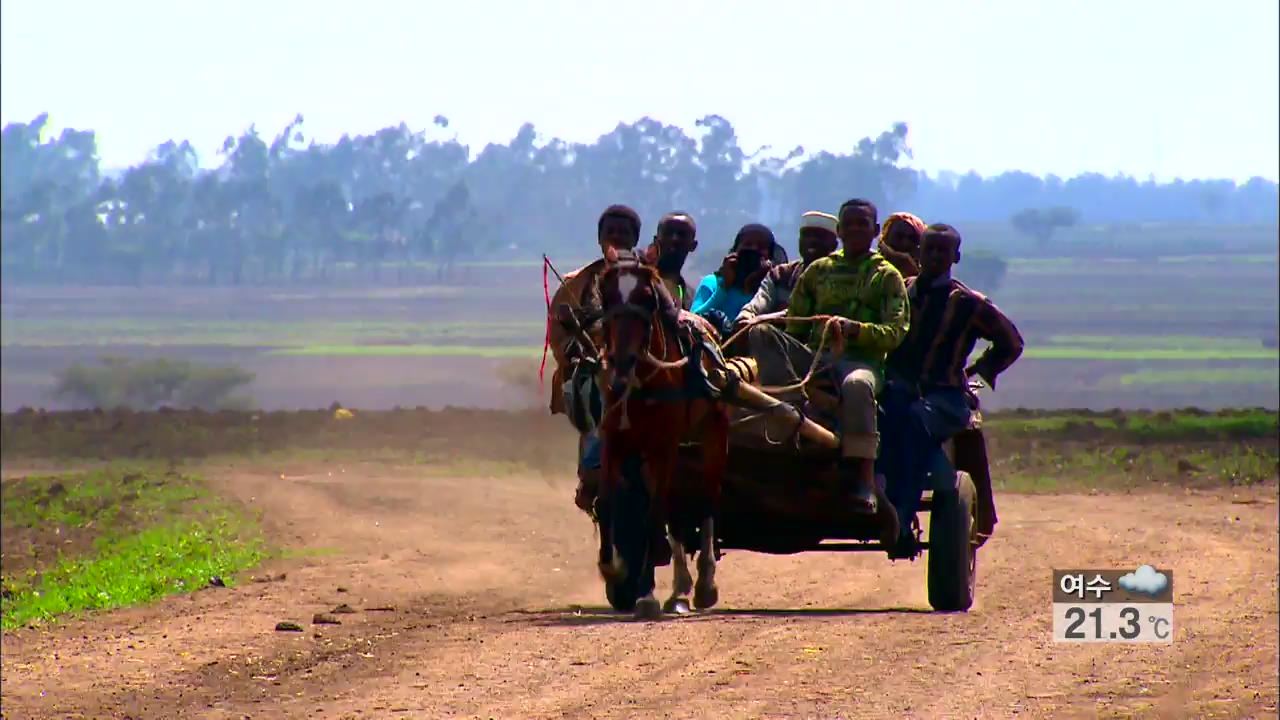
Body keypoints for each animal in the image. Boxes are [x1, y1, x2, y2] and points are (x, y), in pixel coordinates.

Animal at [591, 245, 732, 617]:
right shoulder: (616, 443)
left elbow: (655, 513)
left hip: (712, 436)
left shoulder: (664, 446)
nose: (621, 362)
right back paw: (680, 588)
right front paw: (614, 568)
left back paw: (704, 584)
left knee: (707, 499)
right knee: (674, 509)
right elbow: (610, 502)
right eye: (607, 296)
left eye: (646, 297)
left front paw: (645, 593)